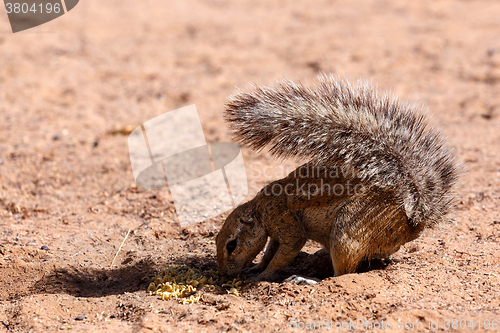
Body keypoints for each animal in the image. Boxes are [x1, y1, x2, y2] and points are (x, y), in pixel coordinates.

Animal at [217, 74, 458, 282]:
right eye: (216, 239)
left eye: (231, 245)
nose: (224, 275)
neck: (259, 208)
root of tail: (409, 226)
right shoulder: (276, 230)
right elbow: (270, 250)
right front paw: (257, 266)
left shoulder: (281, 218)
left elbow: (289, 248)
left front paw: (263, 275)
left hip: (348, 228)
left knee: (341, 274)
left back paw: (307, 279)